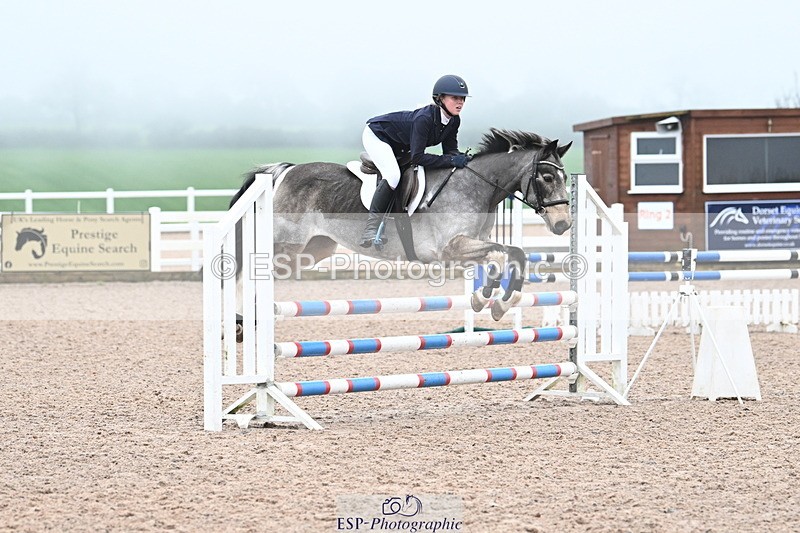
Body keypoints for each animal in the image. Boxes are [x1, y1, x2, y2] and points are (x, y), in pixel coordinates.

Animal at [230, 128, 572, 324]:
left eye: (566, 177)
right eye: (547, 177)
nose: (563, 224)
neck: (476, 186)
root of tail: (286, 170)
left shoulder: (471, 245)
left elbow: (514, 254)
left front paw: (496, 302)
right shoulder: (449, 249)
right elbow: (501, 255)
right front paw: (485, 297)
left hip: (314, 249)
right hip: (286, 244)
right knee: (250, 271)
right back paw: (240, 319)